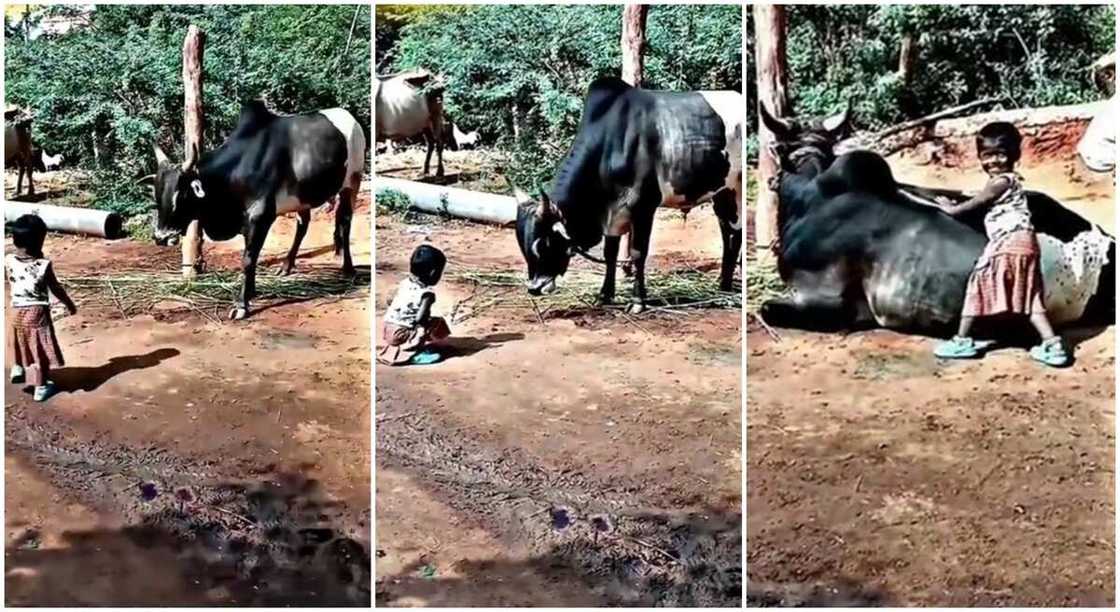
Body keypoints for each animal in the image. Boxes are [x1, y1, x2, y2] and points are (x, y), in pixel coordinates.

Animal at [148, 99, 365, 318]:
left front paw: (242, 305)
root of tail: (350, 117)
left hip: (352, 183)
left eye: (181, 194)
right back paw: (286, 266)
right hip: (303, 197)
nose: (161, 237)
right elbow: (251, 255)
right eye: (157, 194)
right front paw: (251, 291)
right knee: (303, 226)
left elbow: (248, 258)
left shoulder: (260, 217)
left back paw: (348, 269)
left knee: (345, 222)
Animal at [515, 76, 743, 311]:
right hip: (721, 192)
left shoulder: (644, 207)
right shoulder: (612, 214)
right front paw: (605, 295)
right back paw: (723, 285)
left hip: (737, 187)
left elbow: (637, 253)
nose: (534, 288)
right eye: (522, 243)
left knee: (737, 233)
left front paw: (637, 301)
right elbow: (610, 252)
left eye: (544, 244)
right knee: (728, 232)